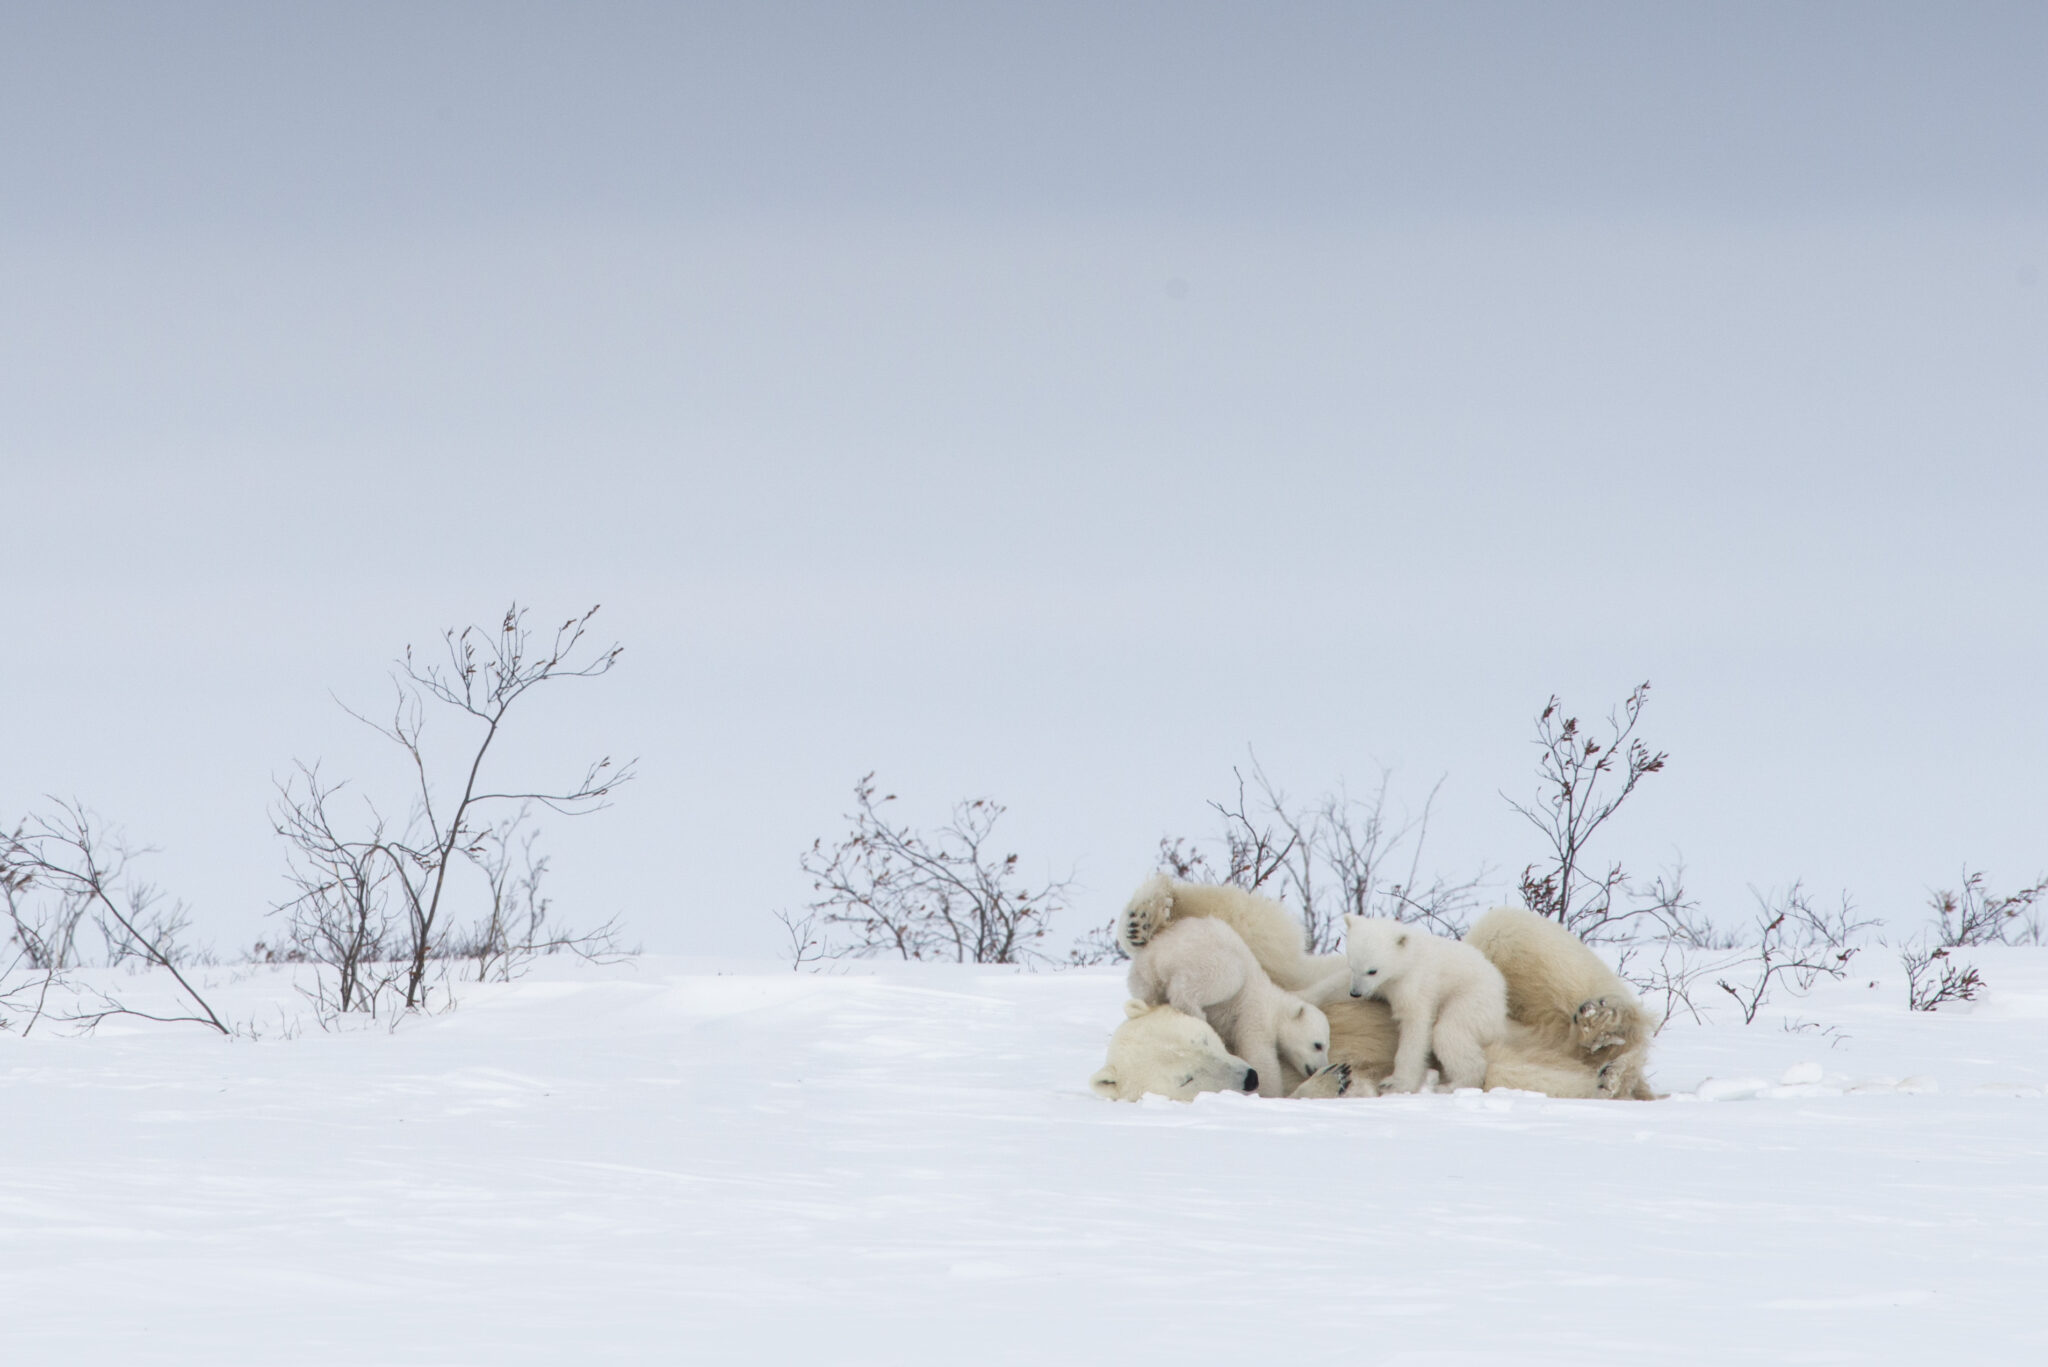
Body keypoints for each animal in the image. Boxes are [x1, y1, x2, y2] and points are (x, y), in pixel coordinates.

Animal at [1125, 913, 1334, 1097]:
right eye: (1318, 1045)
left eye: (1326, 1045)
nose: (1319, 1068)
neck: (1275, 1004)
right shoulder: (1255, 1013)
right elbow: (1260, 1056)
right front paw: (1270, 1089)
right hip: (1202, 956)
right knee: (1219, 977)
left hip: (1144, 976)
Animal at [1343, 915, 1508, 1092]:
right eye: (1351, 966)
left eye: (1372, 971)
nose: (1355, 993)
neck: (1408, 959)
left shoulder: (1415, 984)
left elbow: (1415, 1024)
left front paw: (1396, 1083)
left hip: (1474, 999)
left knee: (1448, 1032)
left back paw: (1452, 1085)